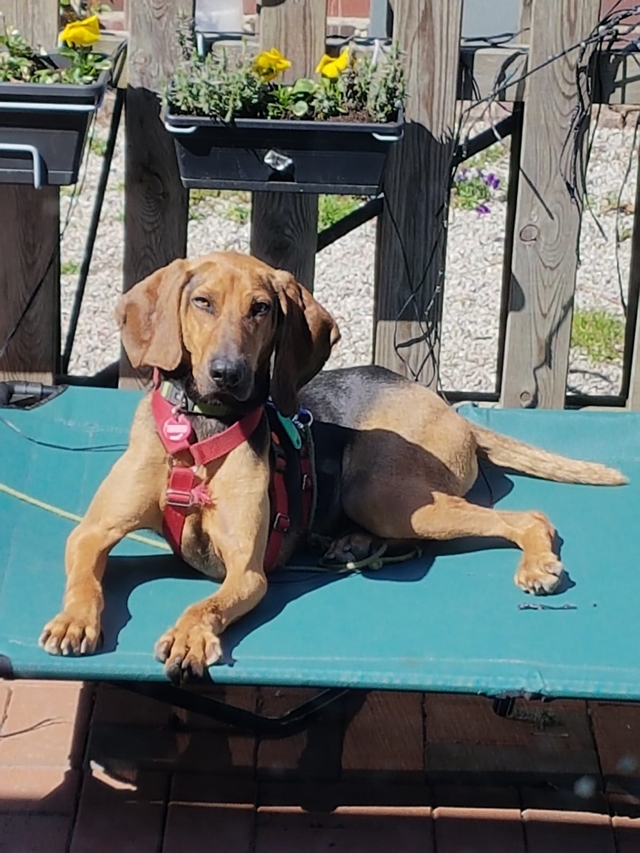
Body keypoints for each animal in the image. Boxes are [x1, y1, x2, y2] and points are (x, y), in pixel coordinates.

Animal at [39, 251, 627, 680]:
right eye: (202, 302)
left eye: (261, 308)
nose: (228, 373)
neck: (200, 431)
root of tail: (445, 404)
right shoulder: (92, 532)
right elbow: (85, 577)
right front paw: (74, 619)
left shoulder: (246, 571)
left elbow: (204, 605)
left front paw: (190, 634)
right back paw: (353, 543)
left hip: (385, 494)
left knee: (526, 517)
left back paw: (534, 562)